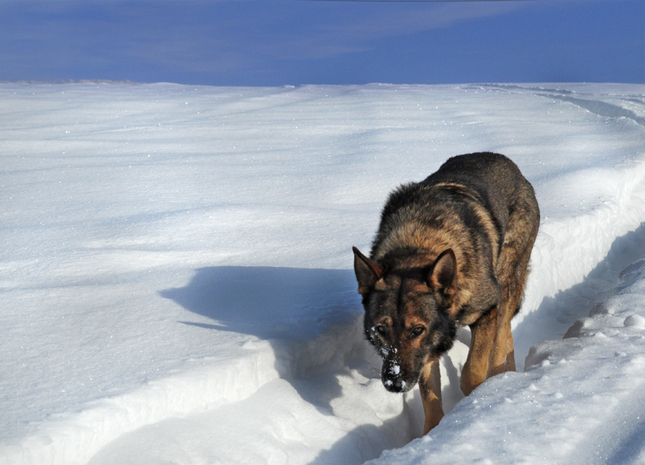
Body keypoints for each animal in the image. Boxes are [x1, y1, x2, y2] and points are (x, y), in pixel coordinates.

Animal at [352, 152, 540, 436]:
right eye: (381, 330)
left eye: (417, 330)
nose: (395, 383)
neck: (418, 246)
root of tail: (508, 163)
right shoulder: (426, 353)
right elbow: (430, 398)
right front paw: (433, 432)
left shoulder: (486, 311)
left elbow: (471, 372)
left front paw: (476, 400)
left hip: (507, 281)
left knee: (502, 336)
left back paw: (499, 380)